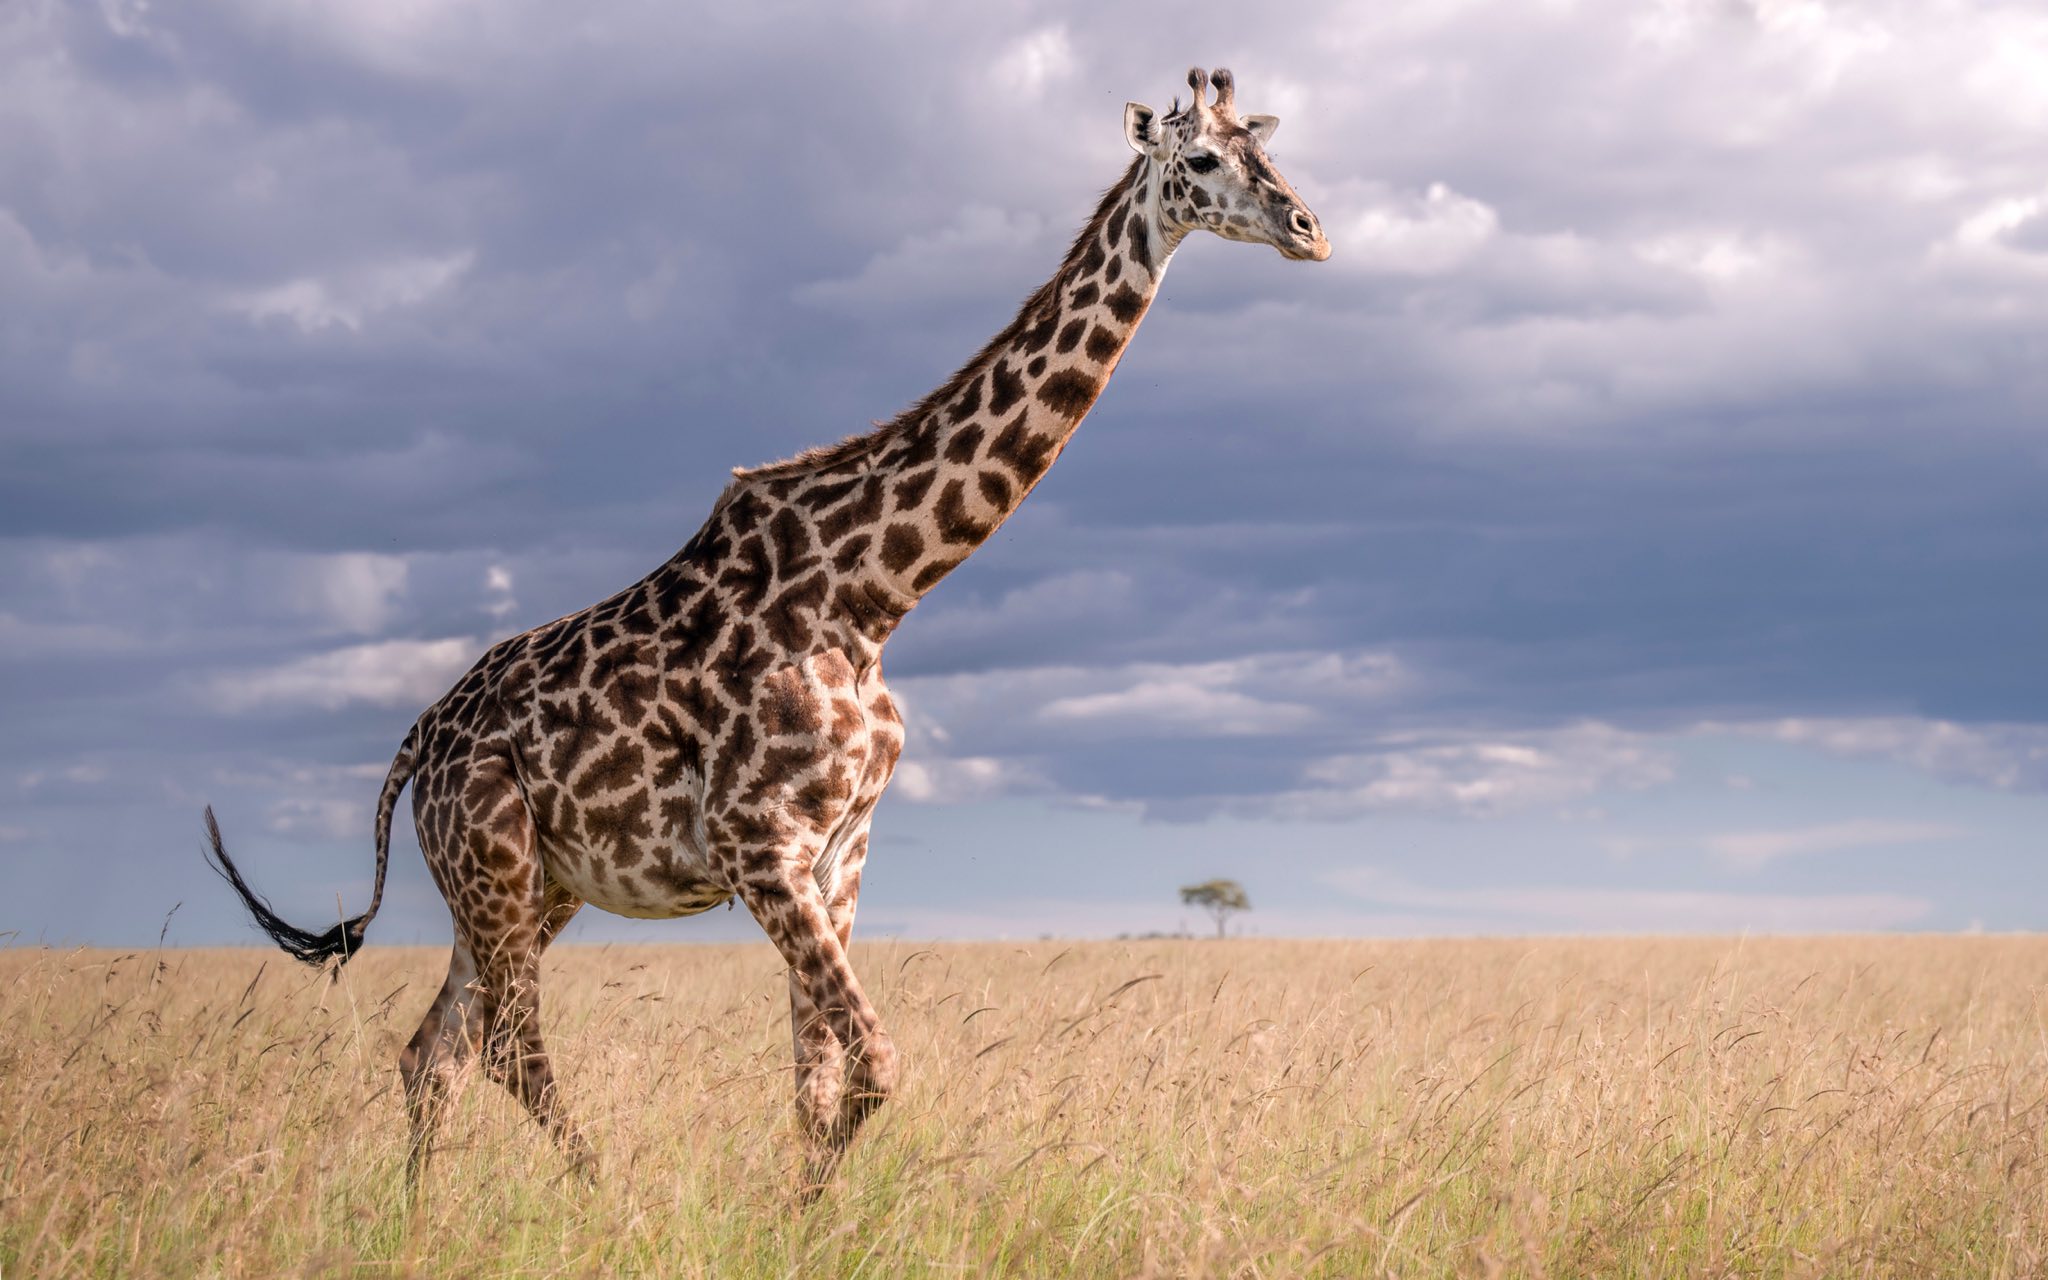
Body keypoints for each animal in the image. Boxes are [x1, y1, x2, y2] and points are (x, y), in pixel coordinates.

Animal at [206, 66, 1330, 1198]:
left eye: (1269, 150)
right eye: (1201, 160)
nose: (1309, 229)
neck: (874, 595)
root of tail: (415, 746)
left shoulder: (841, 853)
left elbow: (816, 1080)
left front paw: (804, 1213)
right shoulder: (761, 845)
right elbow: (874, 1062)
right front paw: (797, 1210)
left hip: (529, 884)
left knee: (434, 1048)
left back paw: (418, 1213)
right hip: (493, 865)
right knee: (510, 1048)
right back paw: (605, 1203)